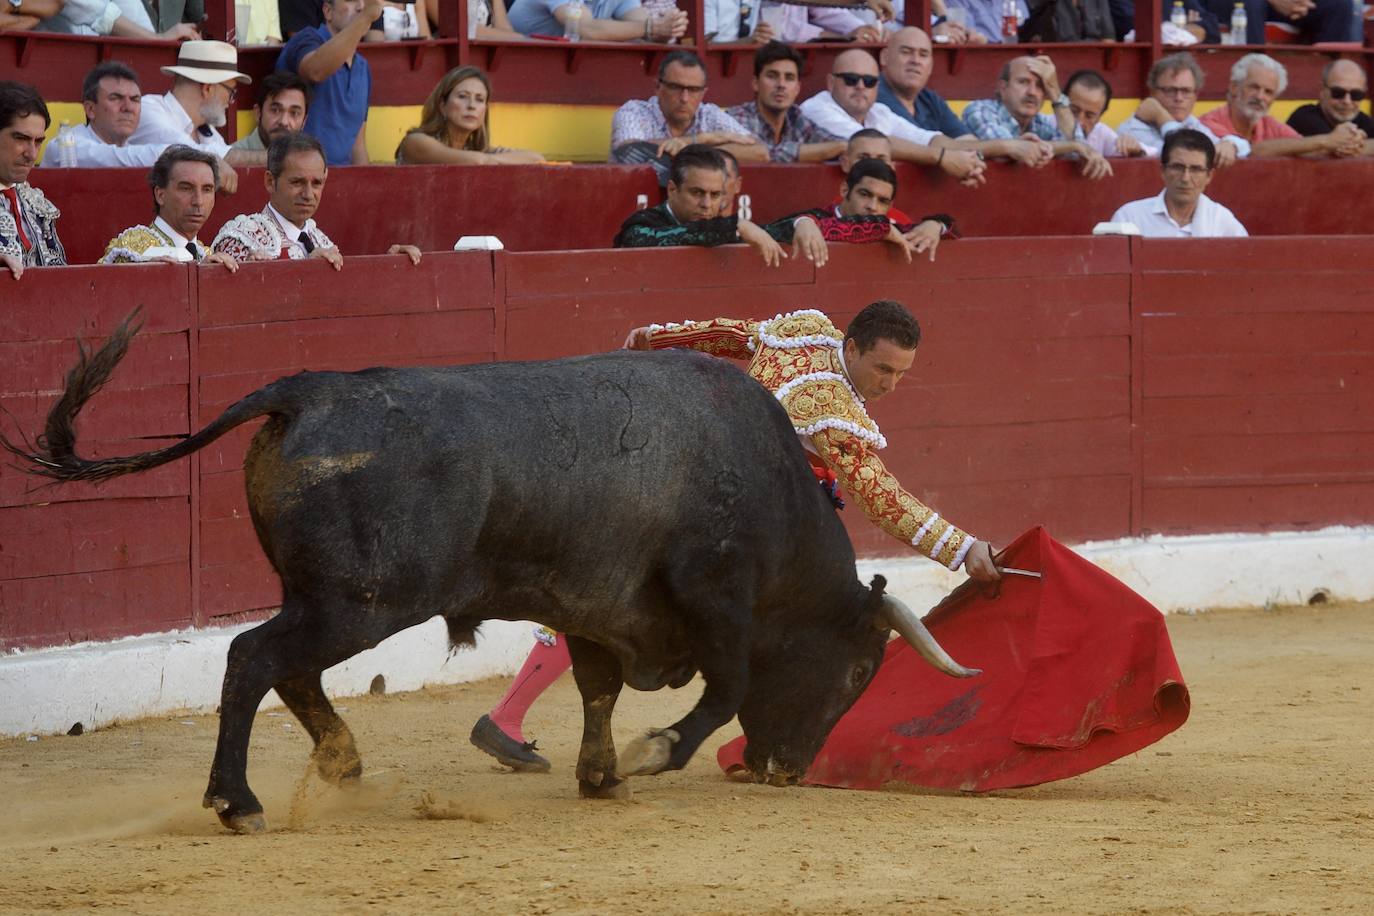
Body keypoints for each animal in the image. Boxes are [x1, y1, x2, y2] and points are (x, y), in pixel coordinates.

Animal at [8, 317, 978, 840]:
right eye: (860, 671)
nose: (787, 772)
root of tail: (305, 389)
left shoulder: (598, 607)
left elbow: (595, 688)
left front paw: (602, 776)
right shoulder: (716, 595)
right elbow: (727, 684)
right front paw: (654, 752)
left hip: (333, 599)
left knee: (288, 668)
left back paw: (342, 760)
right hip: (364, 600)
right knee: (253, 658)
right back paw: (238, 802)